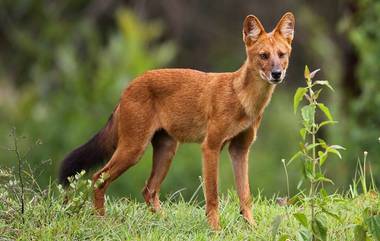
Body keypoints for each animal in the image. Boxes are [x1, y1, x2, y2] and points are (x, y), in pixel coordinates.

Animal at [59, 12, 296, 230]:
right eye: (263, 55)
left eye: (281, 54)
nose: (277, 73)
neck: (244, 99)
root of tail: (128, 87)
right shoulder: (211, 146)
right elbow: (213, 194)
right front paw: (215, 229)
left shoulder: (240, 149)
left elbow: (245, 195)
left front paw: (252, 227)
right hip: (133, 149)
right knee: (98, 178)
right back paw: (102, 222)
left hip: (167, 149)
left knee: (148, 190)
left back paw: (165, 223)